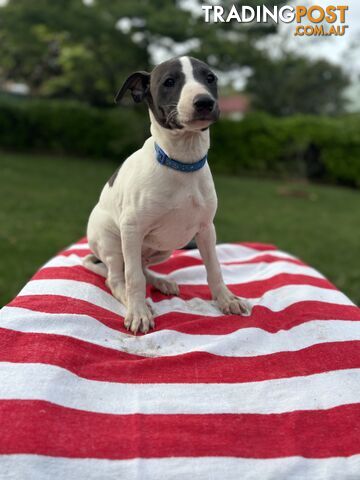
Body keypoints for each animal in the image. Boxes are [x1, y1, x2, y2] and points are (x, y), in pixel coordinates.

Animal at [84, 56, 252, 334]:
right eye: (169, 82)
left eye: (210, 78)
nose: (204, 102)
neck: (182, 163)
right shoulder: (132, 228)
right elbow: (133, 279)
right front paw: (138, 313)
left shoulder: (206, 229)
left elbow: (214, 268)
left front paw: (226, 299)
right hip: (113, 243)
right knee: (117, 277)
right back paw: (134, 300)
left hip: (166, 248)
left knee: (141, 267)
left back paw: (161, 282)